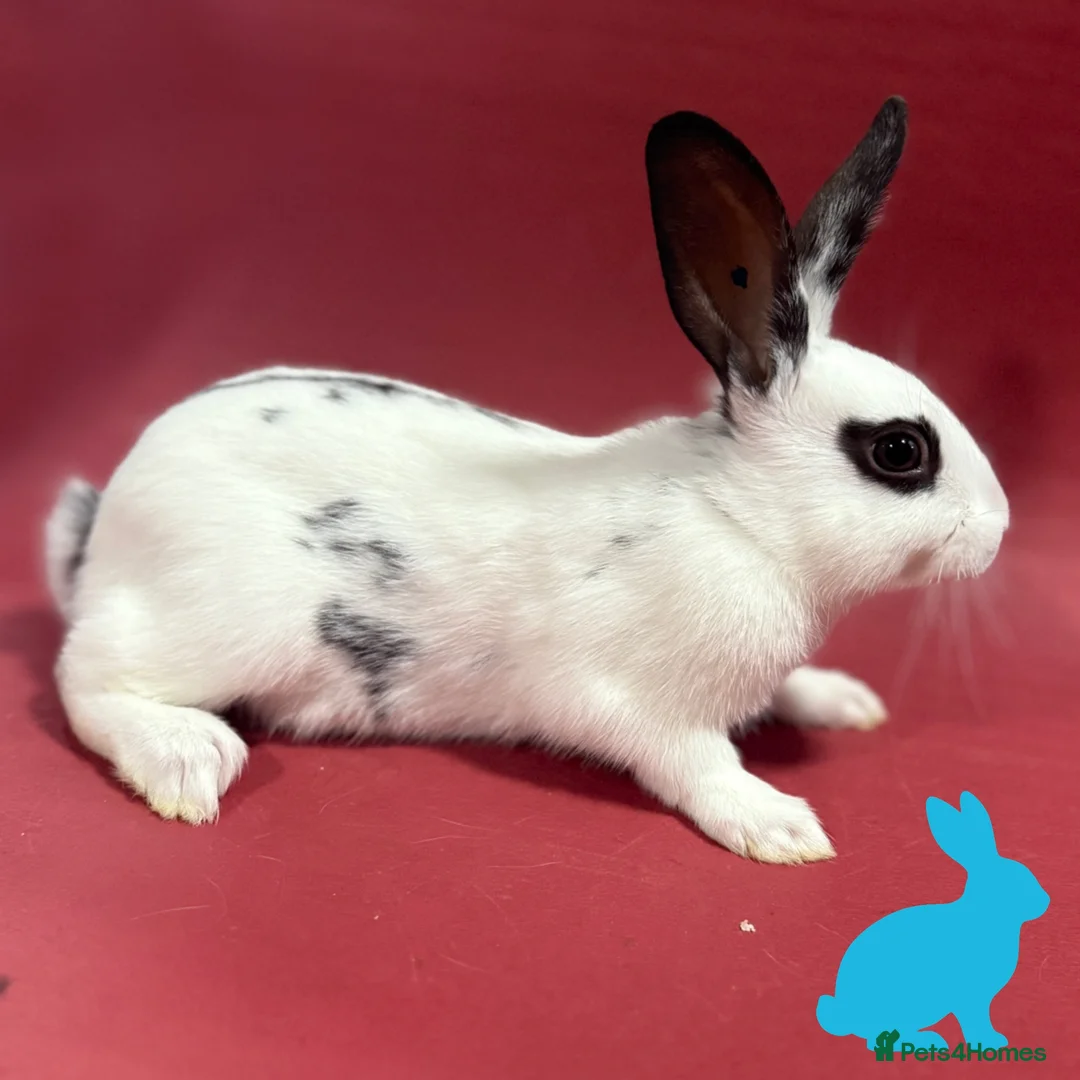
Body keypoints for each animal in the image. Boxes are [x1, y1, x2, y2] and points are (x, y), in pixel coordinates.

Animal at [43, 96, 1008, 863]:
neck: (741, 520)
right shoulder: (634, 705)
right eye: (898, 452)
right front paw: (780, 826)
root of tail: (106, 526)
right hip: (231, 622)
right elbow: (697, 764)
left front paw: (846, 701)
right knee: (84, 676)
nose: (999, 531)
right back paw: (184, 759)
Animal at [817, 792, 1050, 1050]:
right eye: (1014, 882)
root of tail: (845, 1014)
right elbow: (974, 1019)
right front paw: (988, 1041)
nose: (1045, 901)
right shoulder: (970, 998)